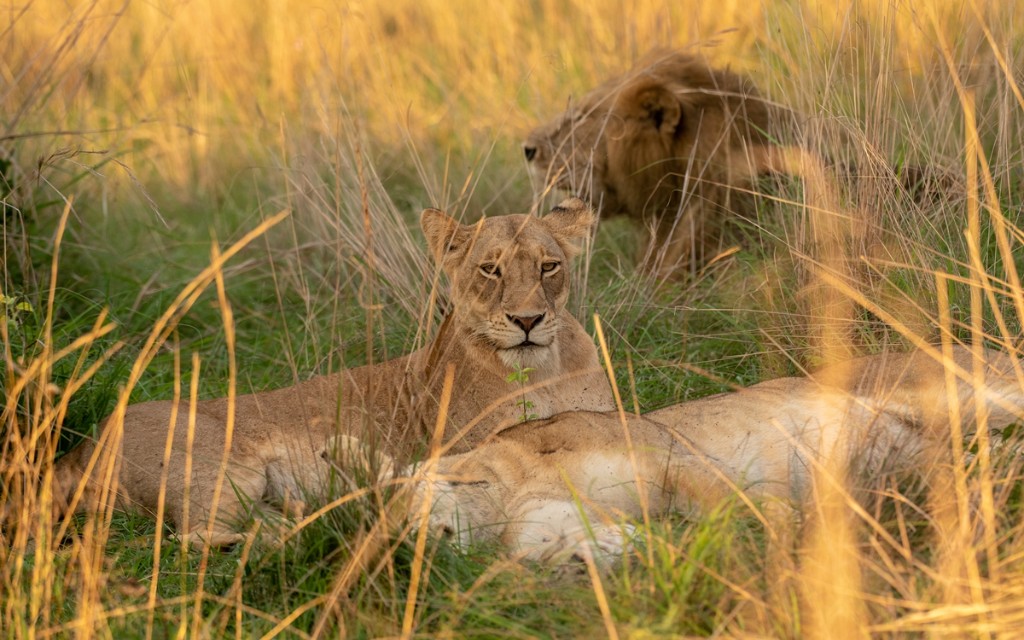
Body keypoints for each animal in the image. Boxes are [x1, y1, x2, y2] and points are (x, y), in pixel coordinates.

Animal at [48, 198, 616, 546]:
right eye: (490, 270)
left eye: (548, 266)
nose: (528, 320)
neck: (543, 371)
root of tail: (85, 444)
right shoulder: (471, 450)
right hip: (222, 471)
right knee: (197, 537)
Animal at [339, 345, 1023, 564]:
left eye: (392, 511)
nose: (401, 549)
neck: (507, 491)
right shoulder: (561, 529)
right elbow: (619, 547)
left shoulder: (668, 455)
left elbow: (743, 507)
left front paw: (796, 533)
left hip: (969, 390)